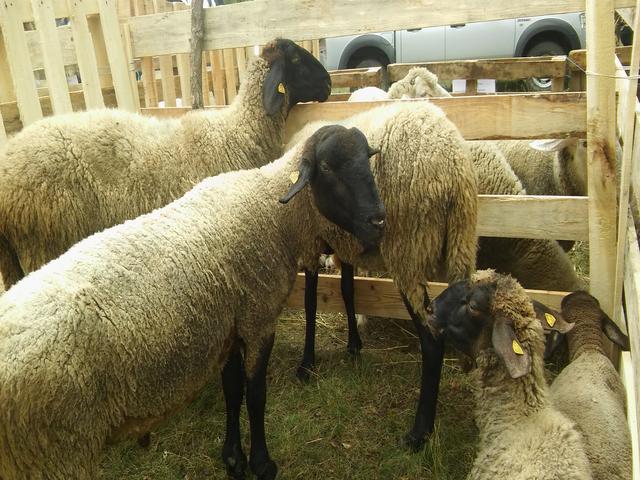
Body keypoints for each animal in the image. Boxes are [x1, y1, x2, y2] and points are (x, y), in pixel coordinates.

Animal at [0, 125, 385, 480]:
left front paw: (233, 459)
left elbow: (233, 389)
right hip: (56, 454)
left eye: (367, 158)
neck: (273, 212)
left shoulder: (228, 324)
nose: (378, 221)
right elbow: (255, 393)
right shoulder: (258, 319)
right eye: (327, 166)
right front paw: (262, 464)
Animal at [287, 100, 479, 450]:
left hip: (409, 250)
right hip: (462, 240)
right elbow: (348, 291)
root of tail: (451, 166)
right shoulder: (344, 243)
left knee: (432, 340)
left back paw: (419, 433)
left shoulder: (311, 241)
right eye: (328, 166)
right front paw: (353, 345)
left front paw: (307, 364)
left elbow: (309, 304)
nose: (376, 219)